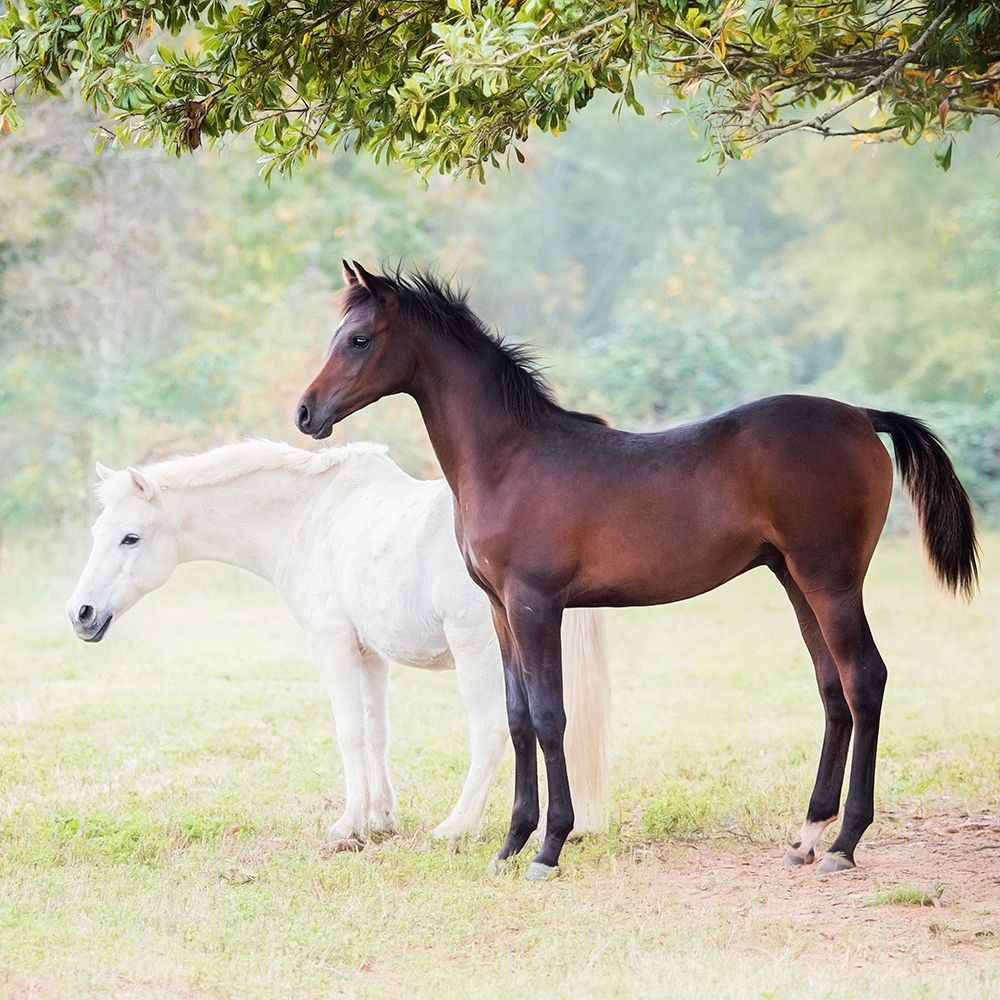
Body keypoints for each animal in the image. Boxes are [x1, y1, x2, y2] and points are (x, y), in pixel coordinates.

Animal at [66, 439, 610, 847]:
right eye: (97, 532)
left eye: (130, 537)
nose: (81, 614)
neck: (310, 516)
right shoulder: (369, 654)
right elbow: (375, 732)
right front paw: (381, 819)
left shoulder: (331, 646)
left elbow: (349, 732)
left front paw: (348, 826)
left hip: (481, 651)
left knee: (493, 730)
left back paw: (458, 826)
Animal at [296, 261, 978, 880]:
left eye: (360, 340)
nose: (305, 413)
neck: (512, 459)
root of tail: (862, 416)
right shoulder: (500, 610)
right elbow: (517, 717)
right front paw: (510, 844)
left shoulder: (535, 606)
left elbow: (549, 716)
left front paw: (548, 848)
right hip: (794, 581)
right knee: (833, 688)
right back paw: (808, 836)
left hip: (831, 582)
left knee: (865, 679)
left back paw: (844, 843)